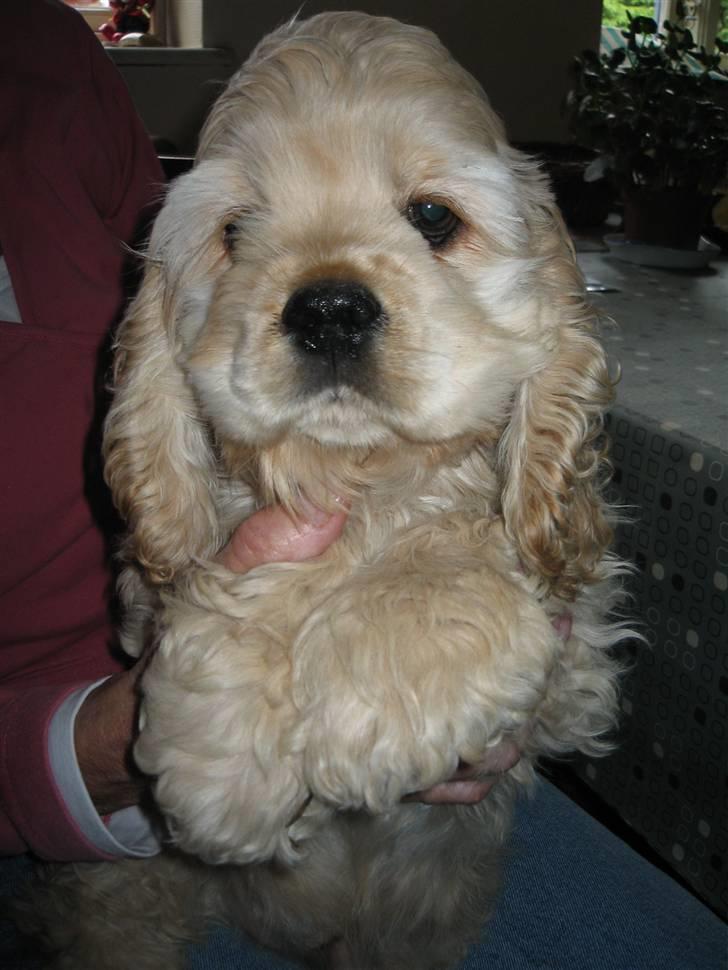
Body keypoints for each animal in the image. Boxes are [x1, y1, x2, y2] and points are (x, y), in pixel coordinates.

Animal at [21, 13, 624, 968]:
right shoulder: (162, 586)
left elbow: (460, 530)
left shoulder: (579, 665)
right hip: (121, 894)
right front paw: (222, 761)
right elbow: (247, 574)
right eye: (237, 232)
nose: (329, 310)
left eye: (433, 217)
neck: (361, 474)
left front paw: (375, 699)